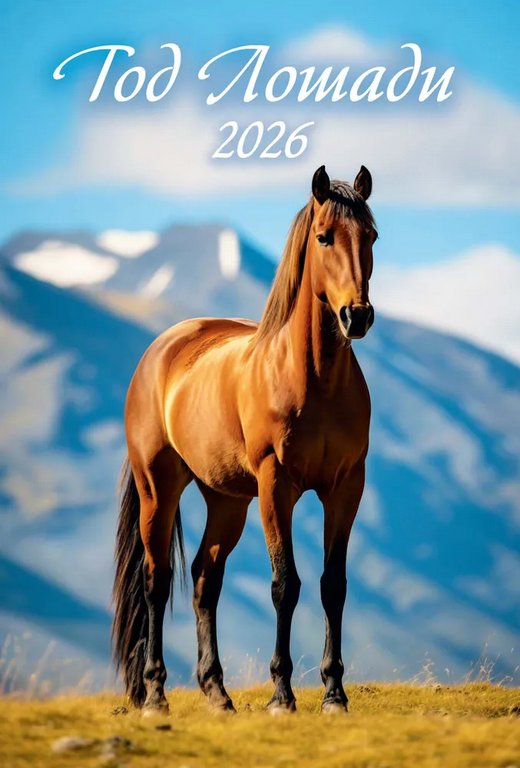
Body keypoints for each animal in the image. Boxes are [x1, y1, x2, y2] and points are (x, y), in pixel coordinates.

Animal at [112, 164, 377, 716]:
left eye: (371, 236)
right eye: (324, 236)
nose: (357, 317)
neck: (312, 377)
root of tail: (160, 350)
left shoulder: (346, 487)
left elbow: (333, 585)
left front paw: (334, 694)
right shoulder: (277, 487)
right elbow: (285, 585)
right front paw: (282, 695)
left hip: (226, 500)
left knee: (203, 580)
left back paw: (217, 692)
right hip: (158, 489)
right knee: (156, 580)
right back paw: (155, 695)